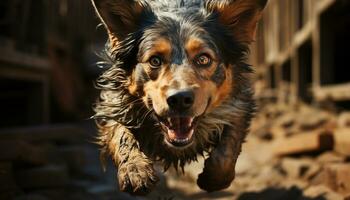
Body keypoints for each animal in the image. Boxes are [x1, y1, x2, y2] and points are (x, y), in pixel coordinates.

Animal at [91, 0, 266, 195]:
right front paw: (135, 170)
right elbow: (121, 135)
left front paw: (214, 179)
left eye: (203, 59)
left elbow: (228, 149)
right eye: (155, 60)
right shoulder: (114, 103)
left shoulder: (239, 104)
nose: (180, 99)